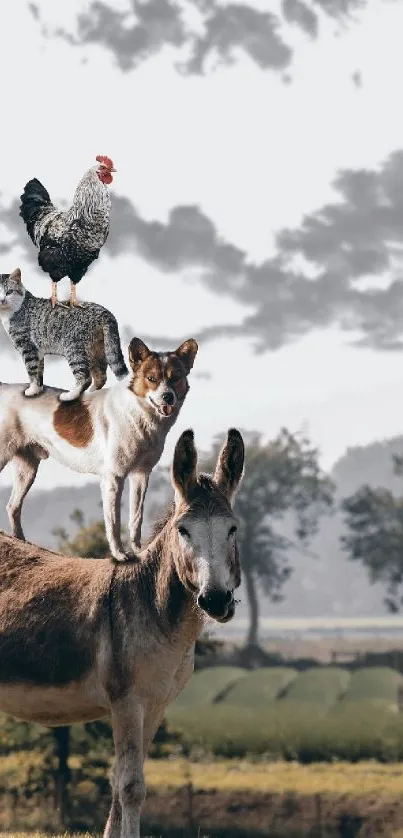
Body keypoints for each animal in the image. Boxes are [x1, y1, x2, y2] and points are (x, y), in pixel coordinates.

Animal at [0, 268, 129, 402]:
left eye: (9, 292)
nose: (2, 300)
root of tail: (105, 312)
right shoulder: (38, 351)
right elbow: (39, 372)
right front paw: (38, 389)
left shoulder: (28, 348)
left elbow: (32, 370)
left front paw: (32, 389)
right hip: (98, 350)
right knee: (101, 376)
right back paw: (92, 393)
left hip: (74, 349)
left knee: (85, 377)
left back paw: (70, 395)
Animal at [0, 336, 199, 564]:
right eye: (151, 378)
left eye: (176, 378)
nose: (168, 397)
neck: (137, 412)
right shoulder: (113, 479)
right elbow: (113, 522)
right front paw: (120, 554)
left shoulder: (141, 475)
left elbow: (136, 518)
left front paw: (139, 550)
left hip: (27, 470)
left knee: (12, 507)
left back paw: (23, 543)